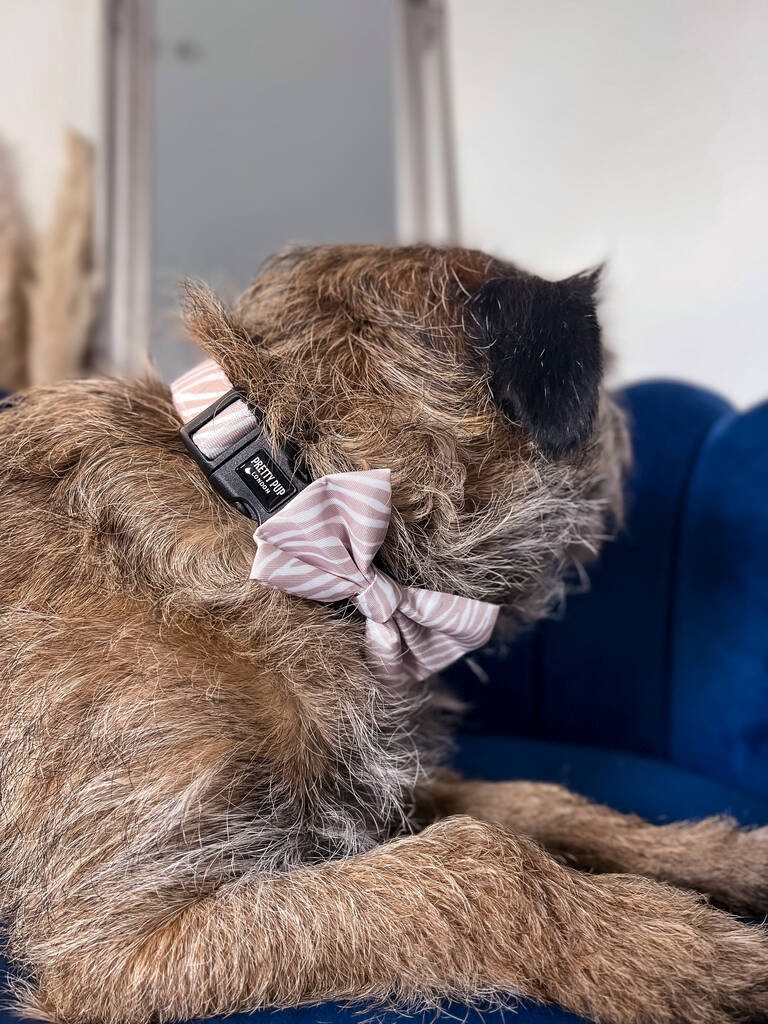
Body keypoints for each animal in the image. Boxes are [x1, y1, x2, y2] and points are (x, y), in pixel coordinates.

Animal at [0, 245, 765, 1024]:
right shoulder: (124, 938)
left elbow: (539, 802)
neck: (277, 501)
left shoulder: (378, 791)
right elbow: (483, 864)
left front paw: (712, 856)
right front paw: (685, 954)